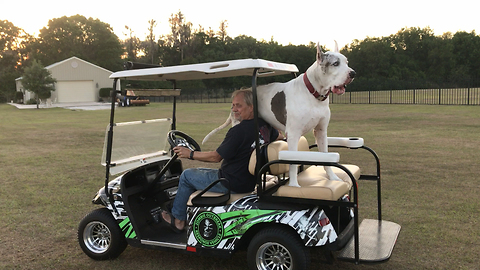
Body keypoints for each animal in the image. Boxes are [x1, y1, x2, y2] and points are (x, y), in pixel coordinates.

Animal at [201, 42, 354, 187]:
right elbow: (292, 161)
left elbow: (326, 156)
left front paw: (333, 178)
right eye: (335, 63)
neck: (313, 94)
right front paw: (294, 185)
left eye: (347, 62)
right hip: (237, 122)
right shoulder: (293, 135)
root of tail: (242, 92)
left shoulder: (321, 132)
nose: (353, 73)